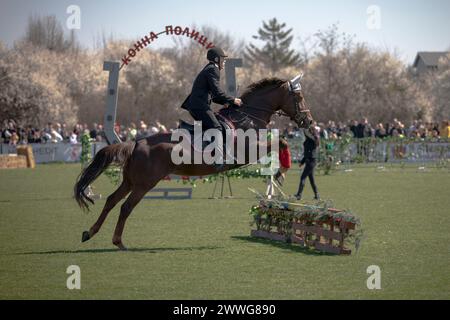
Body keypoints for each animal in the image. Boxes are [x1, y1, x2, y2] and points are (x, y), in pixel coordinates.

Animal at [74, 75, 312, 250]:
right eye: (299, 97)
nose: (309, 121)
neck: (248, 117)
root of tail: (137, 142)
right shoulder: (248, 151)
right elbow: (280, 141)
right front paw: (282, 170)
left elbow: (279, 141)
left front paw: (280, 172)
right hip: (144, 184)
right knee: (125, 207)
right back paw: (118, 242)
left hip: (130, 181)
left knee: (111, 201)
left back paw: (89, 232)